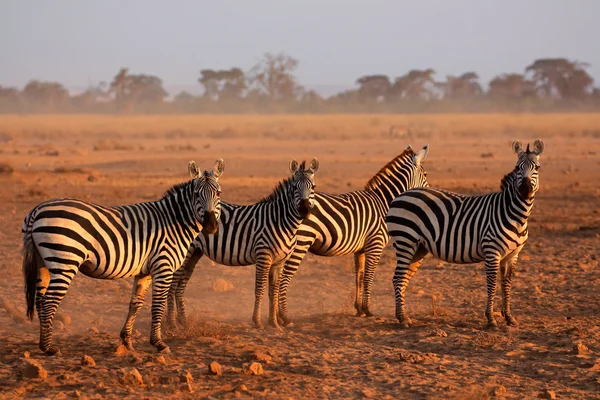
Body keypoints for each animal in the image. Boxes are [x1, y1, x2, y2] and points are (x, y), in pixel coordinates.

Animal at [21, 158, 225, 354]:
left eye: (219, 194)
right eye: (196, 195)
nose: (211, 226)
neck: (174, 222)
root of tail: (36, 210)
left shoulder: (145, 271)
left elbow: (135, 304)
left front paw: (126, 340)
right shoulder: (163, 266)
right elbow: (157, 306)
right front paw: (158, 343)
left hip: (43, 263)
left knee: (40, 301)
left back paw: (43, 343)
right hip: (64, 261)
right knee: (49, 302)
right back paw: (49, 348)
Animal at [168, 158, 318, 330]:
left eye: (313, 187)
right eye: (294, 188)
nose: (304, 211)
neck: (280, 221)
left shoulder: (278, 262)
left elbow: (273, 292)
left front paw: (274, 323)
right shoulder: (263, 256)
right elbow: (260, 289)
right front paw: (258, 322)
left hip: (194, 253)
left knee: (180, 286)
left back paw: (184, 322)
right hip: (185, 252)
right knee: (173, 285)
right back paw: (171, 324)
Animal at [384, 140, 544, 328]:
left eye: (537, 167)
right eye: (518, 167)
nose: (525, 190)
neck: (514, 215)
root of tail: (401, 195)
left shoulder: (512, 255)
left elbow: (507, 284)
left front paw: (509, 317)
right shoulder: (492, 251)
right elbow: (492, 284)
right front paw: (491, 319)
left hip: (418, 248)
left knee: (403, 279)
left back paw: (404, 316)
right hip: (405, 241)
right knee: (398, 278)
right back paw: (402, 319)